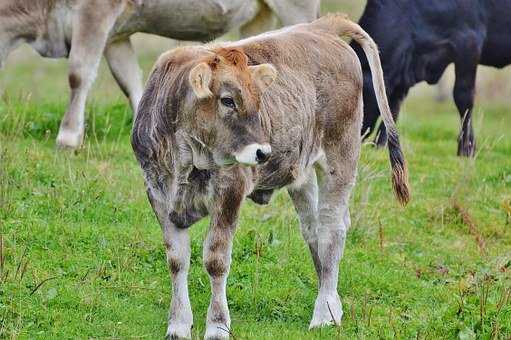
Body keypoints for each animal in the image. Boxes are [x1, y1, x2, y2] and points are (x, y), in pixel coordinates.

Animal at [0, 0, 320, 149]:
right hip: (258, 17)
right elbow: (131, 83)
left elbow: (78, 73)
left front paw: (67, 137)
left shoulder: (94, 13)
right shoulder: (117, 36)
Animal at [133, 12, 412, 338]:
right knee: (313, 230)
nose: (262, 152)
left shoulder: (230, 191)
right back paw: (333, 304)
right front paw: (178, 324)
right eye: (227, 100)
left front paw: (217, 326)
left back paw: (323, 313)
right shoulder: (158, 194)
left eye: (258, 99)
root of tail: (321, 26)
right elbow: (177, 259)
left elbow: (216, 260)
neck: (186, 158)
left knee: (332, 231)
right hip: (302, 174)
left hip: (340, 158)